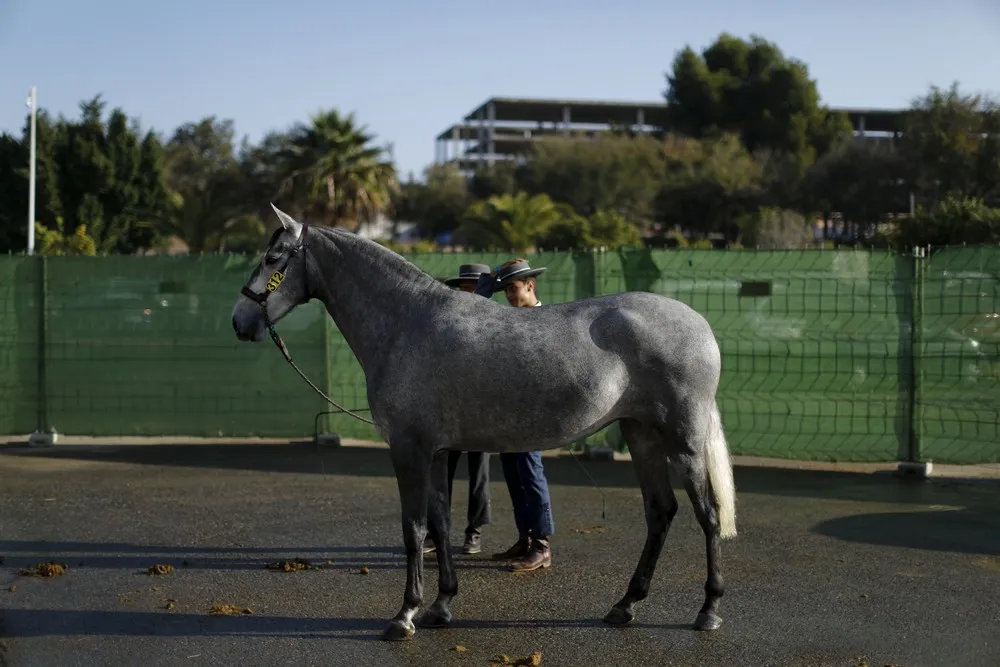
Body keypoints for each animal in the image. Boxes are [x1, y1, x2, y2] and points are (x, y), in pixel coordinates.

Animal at [232, 205, 736, 640]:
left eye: (273, 257)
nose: (240, 321)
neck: (408, 324)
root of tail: (700, 324)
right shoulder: (437, 452)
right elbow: (440, 524)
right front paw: (440, 606)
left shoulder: (408, 449)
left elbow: (413, 528)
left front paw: (404, 615)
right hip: (641, 434)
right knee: (660, 512)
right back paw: (625, 605)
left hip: (684, 441)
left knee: (708, 514)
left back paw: (708, 610)